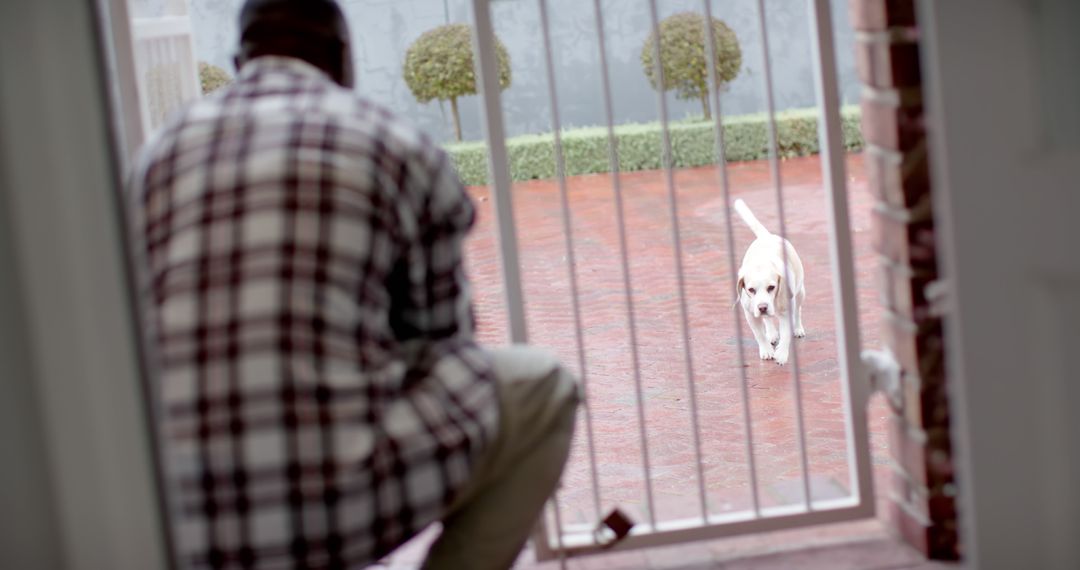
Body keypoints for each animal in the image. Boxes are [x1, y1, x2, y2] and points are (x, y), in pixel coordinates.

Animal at [734, 198, 803, 364]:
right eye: (751, 290)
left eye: (772, 287)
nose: (763, 307)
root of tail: (766, 236)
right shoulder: (750, 314)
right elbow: (759, 334)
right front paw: (766, 350)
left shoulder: (787, 311)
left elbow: (786, 334)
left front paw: (782, 354)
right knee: (767, 320)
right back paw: (771, 333)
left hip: (800, 293)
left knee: (798, 311)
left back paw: (798, 328)